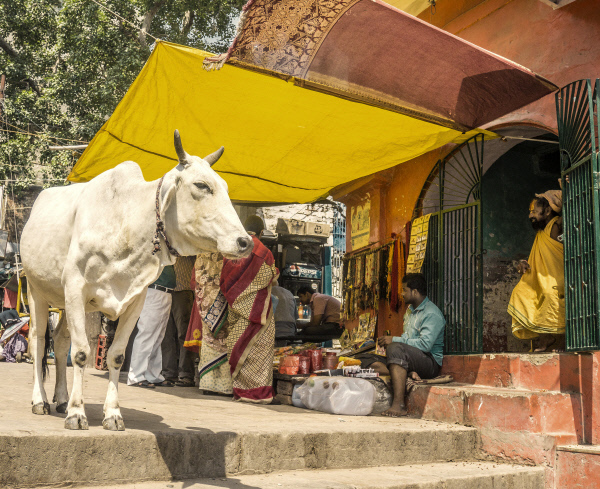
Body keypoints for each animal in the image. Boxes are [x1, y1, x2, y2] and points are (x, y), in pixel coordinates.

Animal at [21, 132, 253, 428]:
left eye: (224, 186)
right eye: (201, 185)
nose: (244, 242)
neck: (126, 224)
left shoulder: (135, 300)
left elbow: (117, 356)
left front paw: (112, 414)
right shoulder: (75, 289)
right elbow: (82, 353)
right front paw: (77, 413)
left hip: (65, 303)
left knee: (61, 342)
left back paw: (61, 399)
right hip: (36, 290)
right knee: (38, 343)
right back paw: (40, 401)